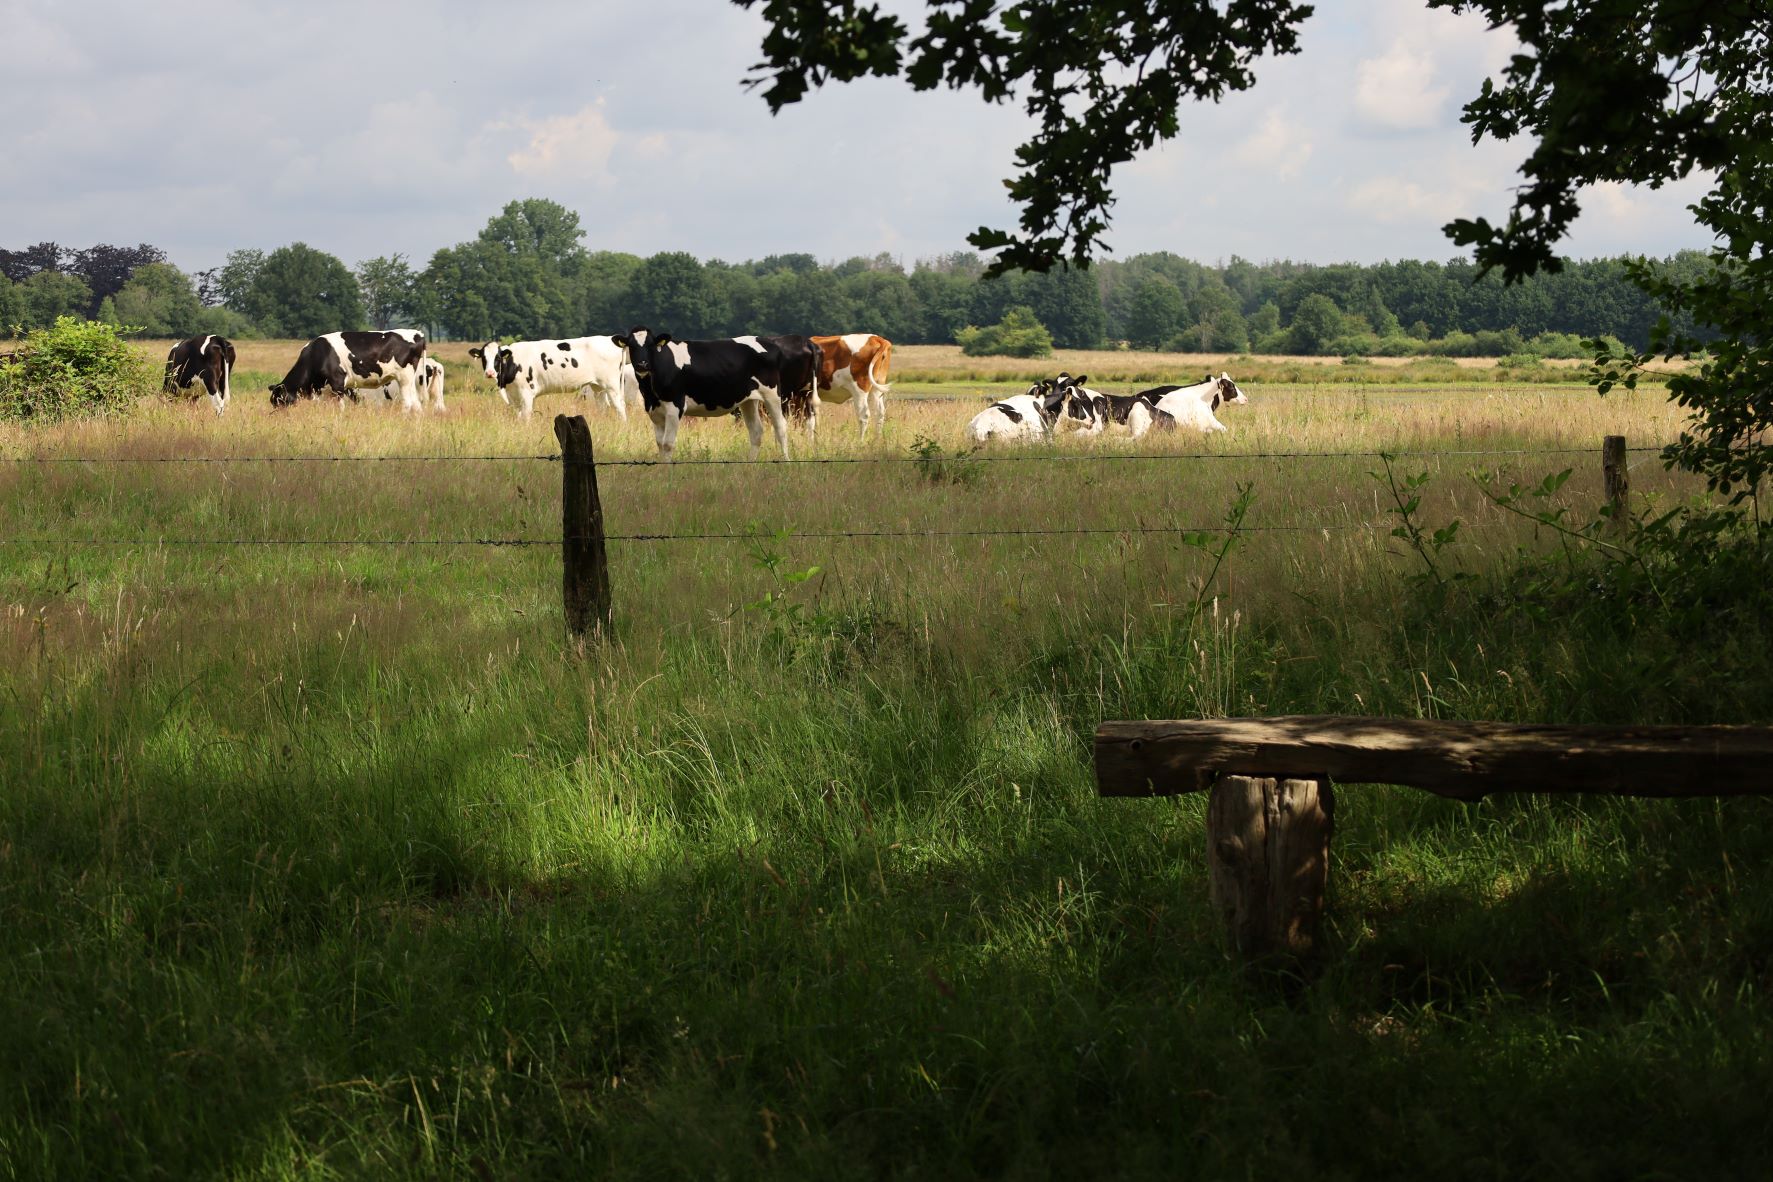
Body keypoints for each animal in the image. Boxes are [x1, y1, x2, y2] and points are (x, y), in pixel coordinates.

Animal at [269, 330, 430, 411]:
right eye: (273, 402)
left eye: (280, 399)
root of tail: (418, 334)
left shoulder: (337, 383)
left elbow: (340, 408)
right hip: (410, 381)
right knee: (416, 403)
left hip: (404, 377)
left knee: (408, 403)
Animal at [469, 337, 636, 421]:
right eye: (483, 358)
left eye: (498, 358)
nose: (490, 373)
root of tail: (610, 338)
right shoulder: (514, 396)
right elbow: (518, 416)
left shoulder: (526, 394)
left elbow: (526, 417)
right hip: (598, 387)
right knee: (603, 407)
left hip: (612, 385)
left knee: (620, 407)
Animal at [611, 327, 791, 461]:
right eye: (632, 346)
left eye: (651, 345)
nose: (642, 364)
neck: (651, 392)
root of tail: (769, 342)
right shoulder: (654, 411)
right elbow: (660, 444)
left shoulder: (675, 407)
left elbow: (668, 444)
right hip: (748, 400)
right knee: (756, 432)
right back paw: (750, 464)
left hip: (772, 395)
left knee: (780, 427)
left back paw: (786, 461)